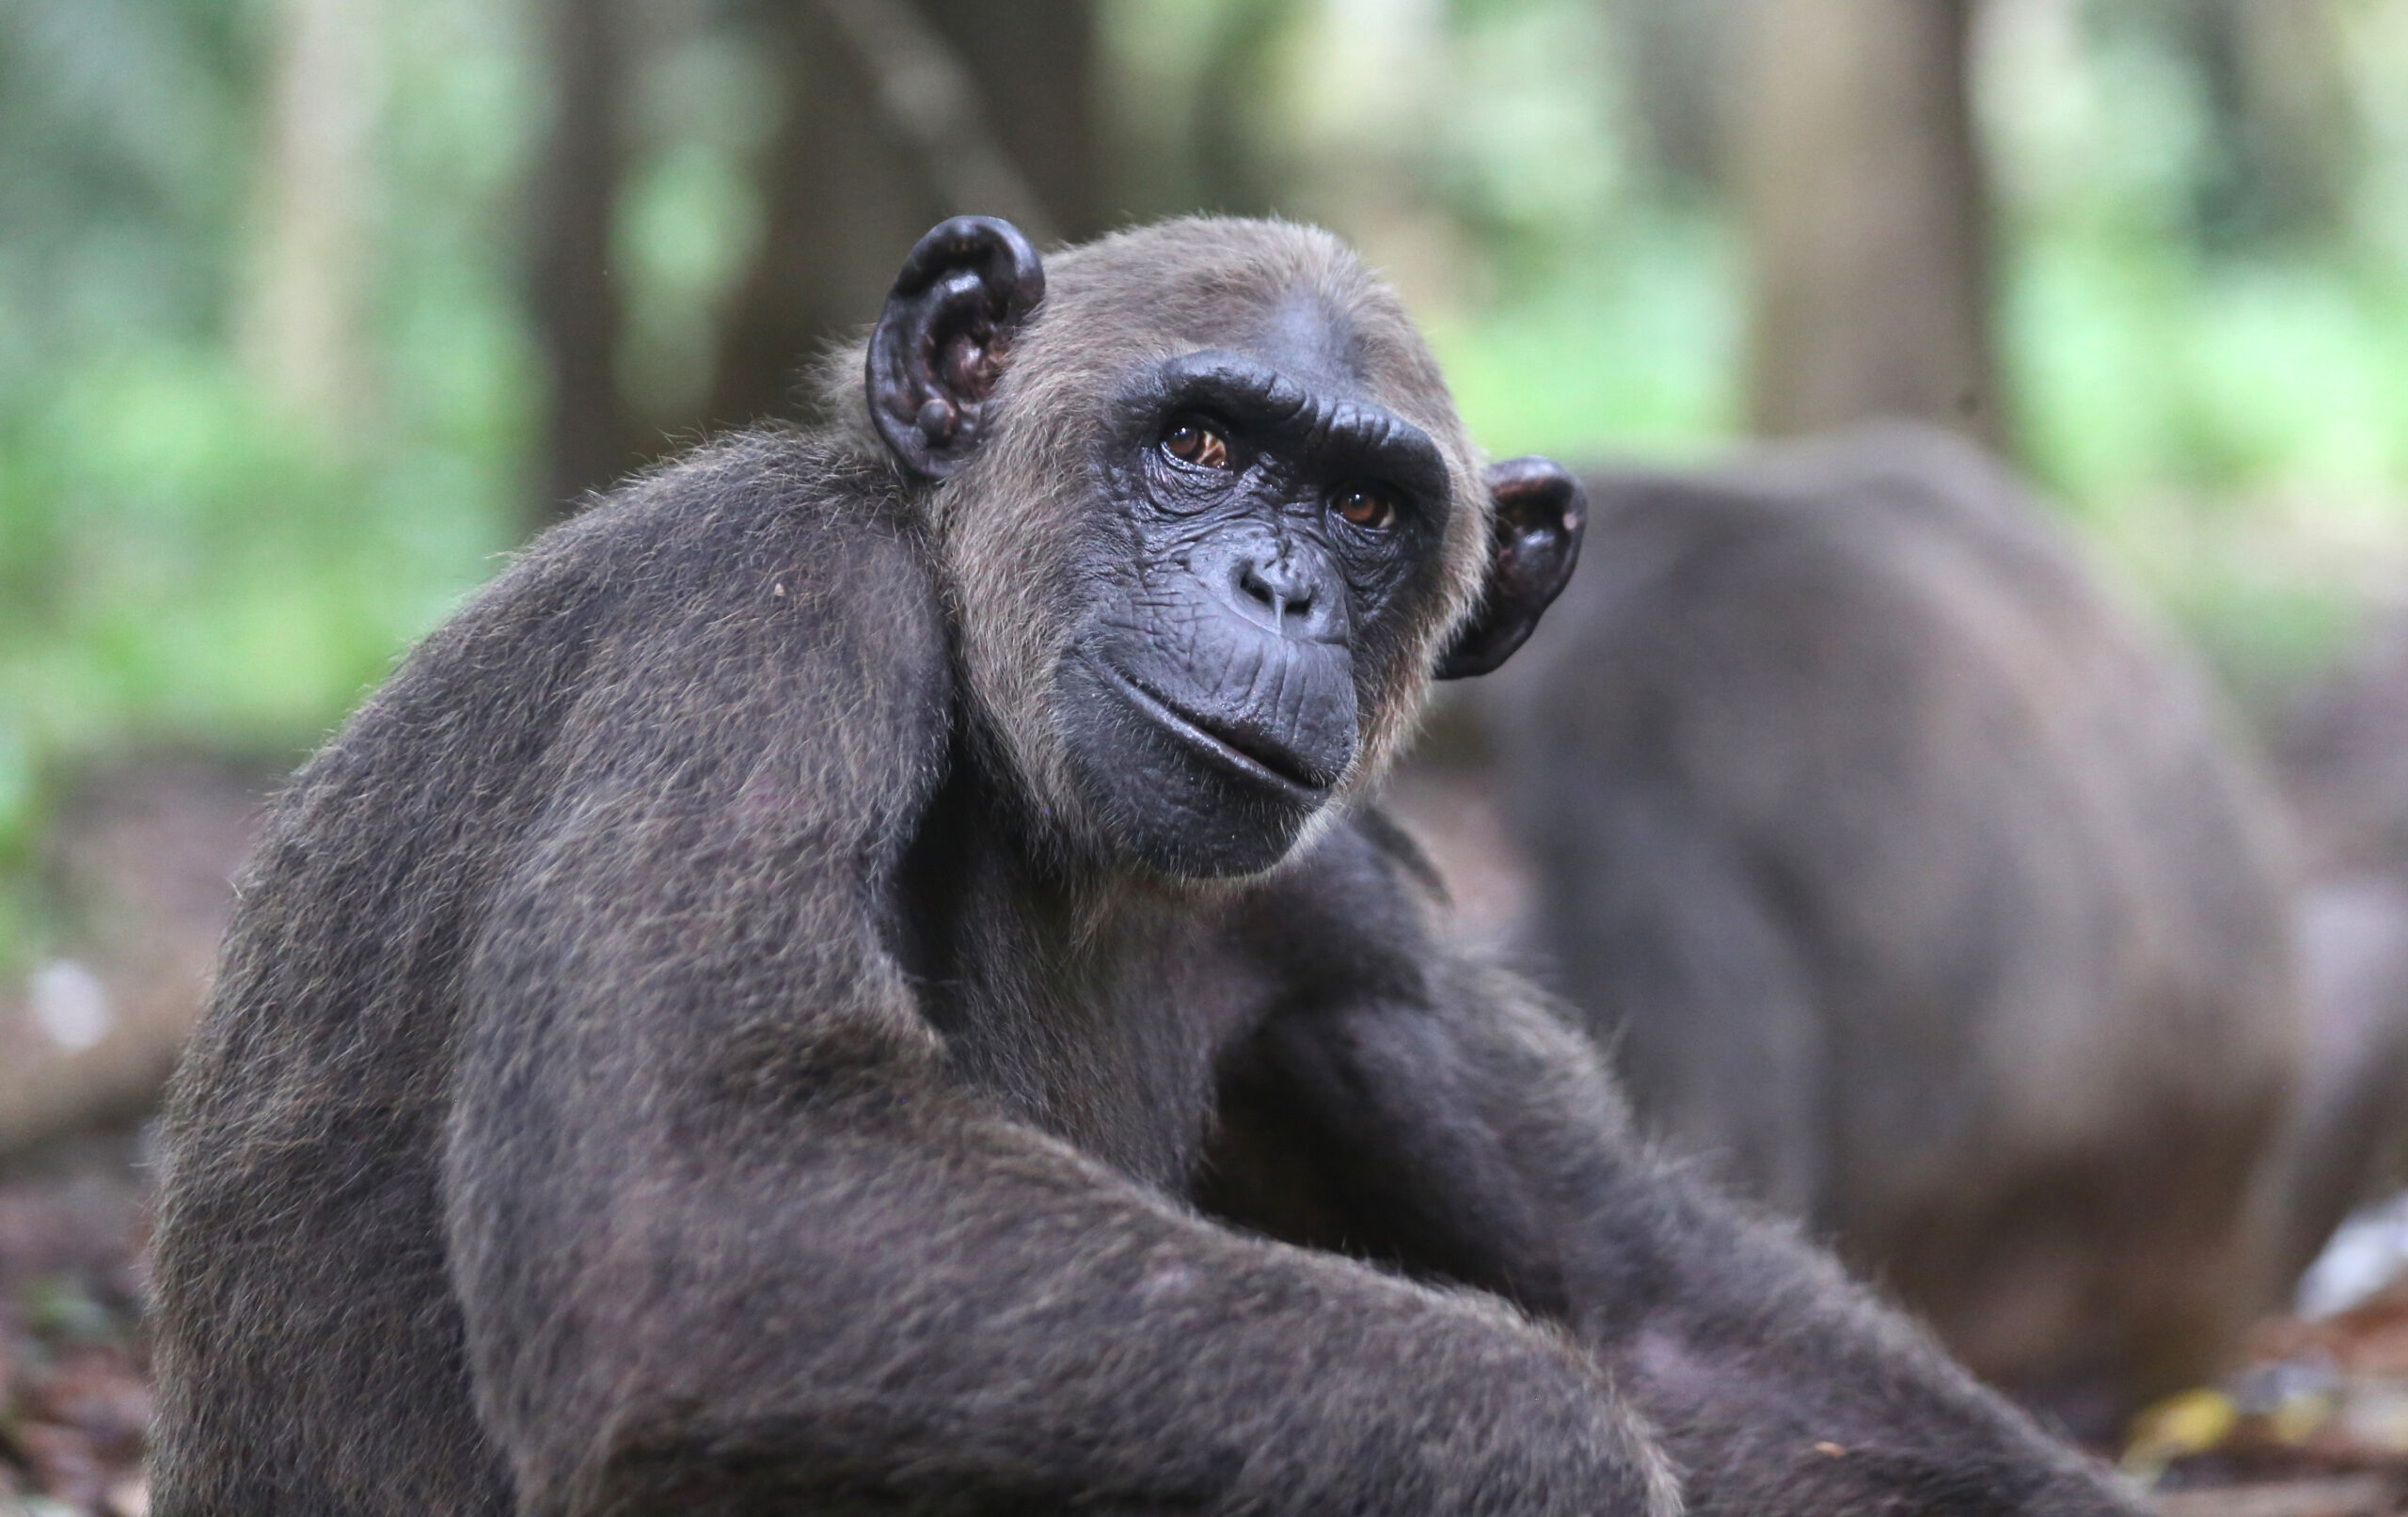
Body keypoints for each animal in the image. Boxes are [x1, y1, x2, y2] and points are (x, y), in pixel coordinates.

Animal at [148, 218, 2140, 1517]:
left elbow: (1657, 1298)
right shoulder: (759, 617)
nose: (1278, 586)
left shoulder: (1344, 904)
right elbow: (684, 1195)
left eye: (1362, 506)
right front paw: (1558, 1450)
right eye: (1199, 441)